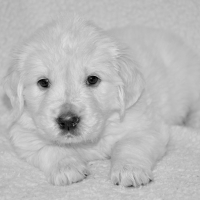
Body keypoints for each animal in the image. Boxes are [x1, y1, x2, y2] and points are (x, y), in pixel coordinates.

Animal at [3, 16, 200, 187]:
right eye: (43, 82)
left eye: (92, 79)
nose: (67, 121)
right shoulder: (24, 133)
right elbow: (50, 148)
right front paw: (66, 167)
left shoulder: (147, 126)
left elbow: (130, 144)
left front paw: (129, 170)